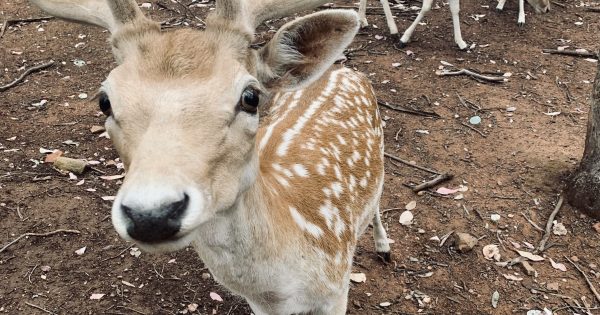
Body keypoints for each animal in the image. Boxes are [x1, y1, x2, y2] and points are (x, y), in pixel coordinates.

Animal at [30, 0, 392, 314]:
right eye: (104, 101)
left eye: (250, 96)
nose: (152, 215)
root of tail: (344, 69)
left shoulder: (337, 291)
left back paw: (383, 247)